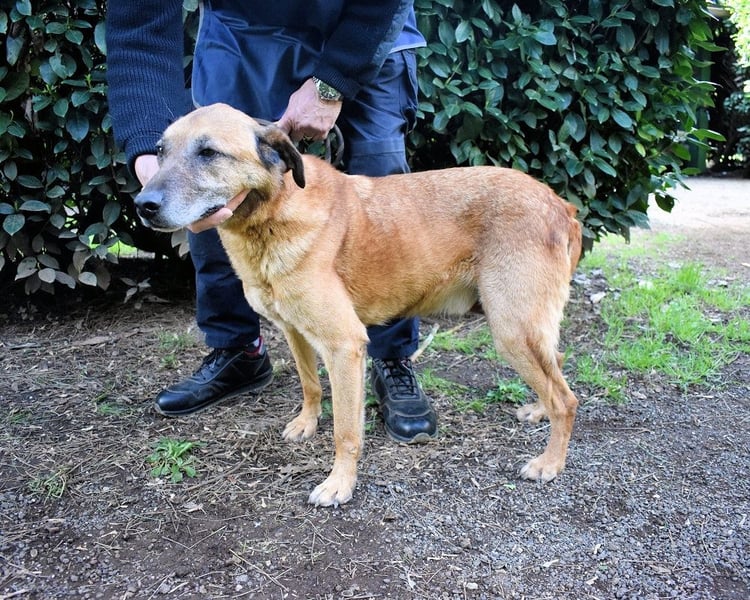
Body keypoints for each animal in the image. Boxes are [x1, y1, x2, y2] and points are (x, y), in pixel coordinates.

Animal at [134, 103, 583, 507]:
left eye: (208, 152)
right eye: (159, 151)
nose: (143, 205)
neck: (272, 217)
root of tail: (561, 206)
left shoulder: (344, 345)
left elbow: (346, 430)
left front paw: (340, 484)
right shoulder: (295, 331)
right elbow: (310, 384)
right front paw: (306, 423)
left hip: (511, 329)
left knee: (567, 398)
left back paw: (549, 462)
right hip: (526, 329)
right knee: (557, 365)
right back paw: (539, 411)